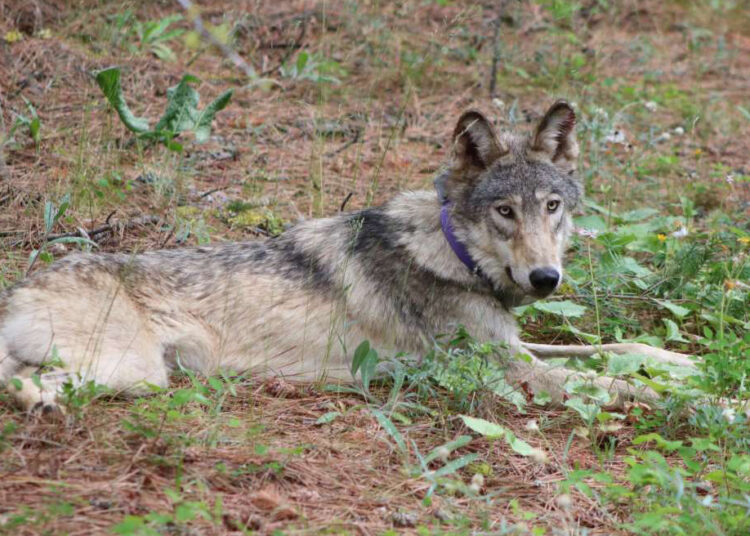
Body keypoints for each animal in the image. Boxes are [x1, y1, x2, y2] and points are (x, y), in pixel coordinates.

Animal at [0, 101, 695, 413]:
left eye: (552, 206)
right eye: (505, 212)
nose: (546, 278)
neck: (452, 254)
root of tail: (18, 291)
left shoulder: (516, 348)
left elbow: (621, 349)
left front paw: (684, 363)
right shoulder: (513, 373)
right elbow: (615, 383)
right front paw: (711, 404)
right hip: (134, 371)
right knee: (23, 387)